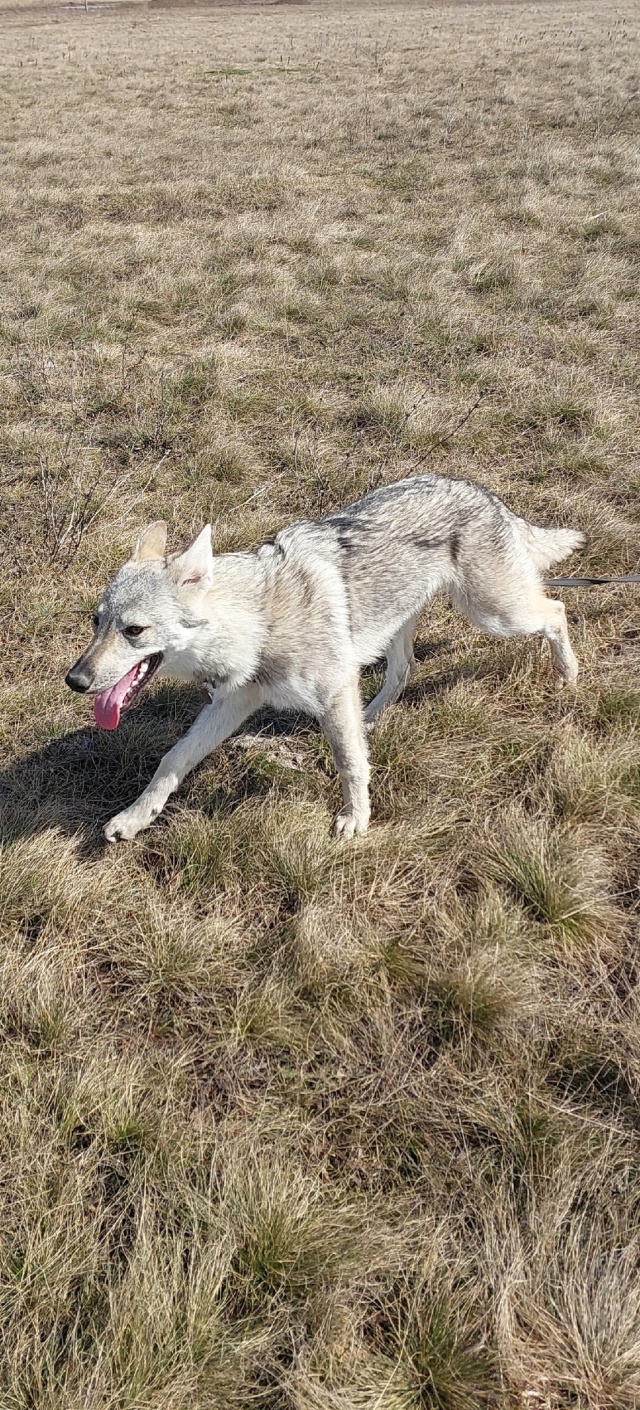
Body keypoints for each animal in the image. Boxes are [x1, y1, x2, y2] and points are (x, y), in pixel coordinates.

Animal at [64, 479, 583, 840]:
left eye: (133, 631)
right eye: (95, 621)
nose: (74, 680)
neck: (260, 622)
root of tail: (484, 494)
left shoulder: (331, 693)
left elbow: (348, 762)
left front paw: (357, 818)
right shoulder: (231, 705)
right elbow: (171, 761)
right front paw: (136, 817)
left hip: (496, 615)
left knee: (556, 610)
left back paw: (568, 676)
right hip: (402, 630)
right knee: (402, 673)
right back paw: (372, 716)